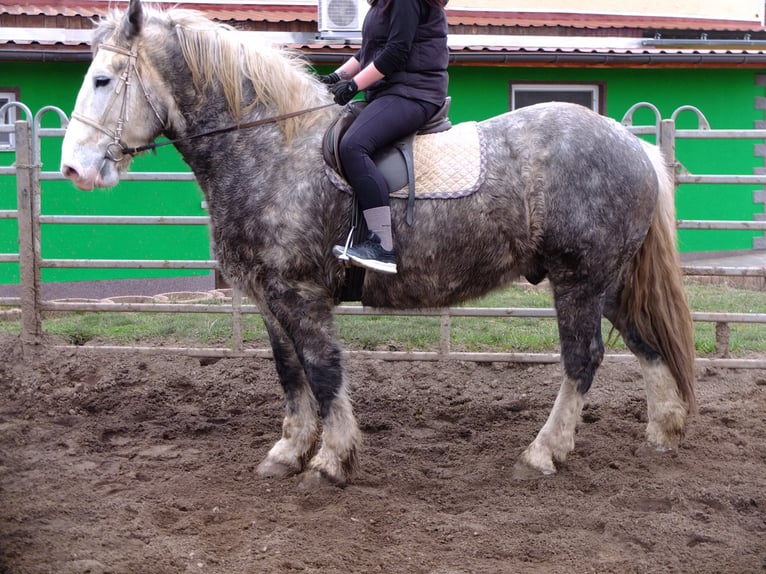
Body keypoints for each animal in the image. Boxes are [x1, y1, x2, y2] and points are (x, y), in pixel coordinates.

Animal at [60, 0, 696, 488]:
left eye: (103, 80)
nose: (73, 169)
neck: (273, 147)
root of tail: (633, 144)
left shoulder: (301, 295)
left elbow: (323, 372)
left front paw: (331, 460)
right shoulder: (269, 297)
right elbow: (289, 373)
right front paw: (288, 452)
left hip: (579, 280)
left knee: (583, 358)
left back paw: (543, 452)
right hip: (606, 280)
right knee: (643, 341)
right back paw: (663, 430)